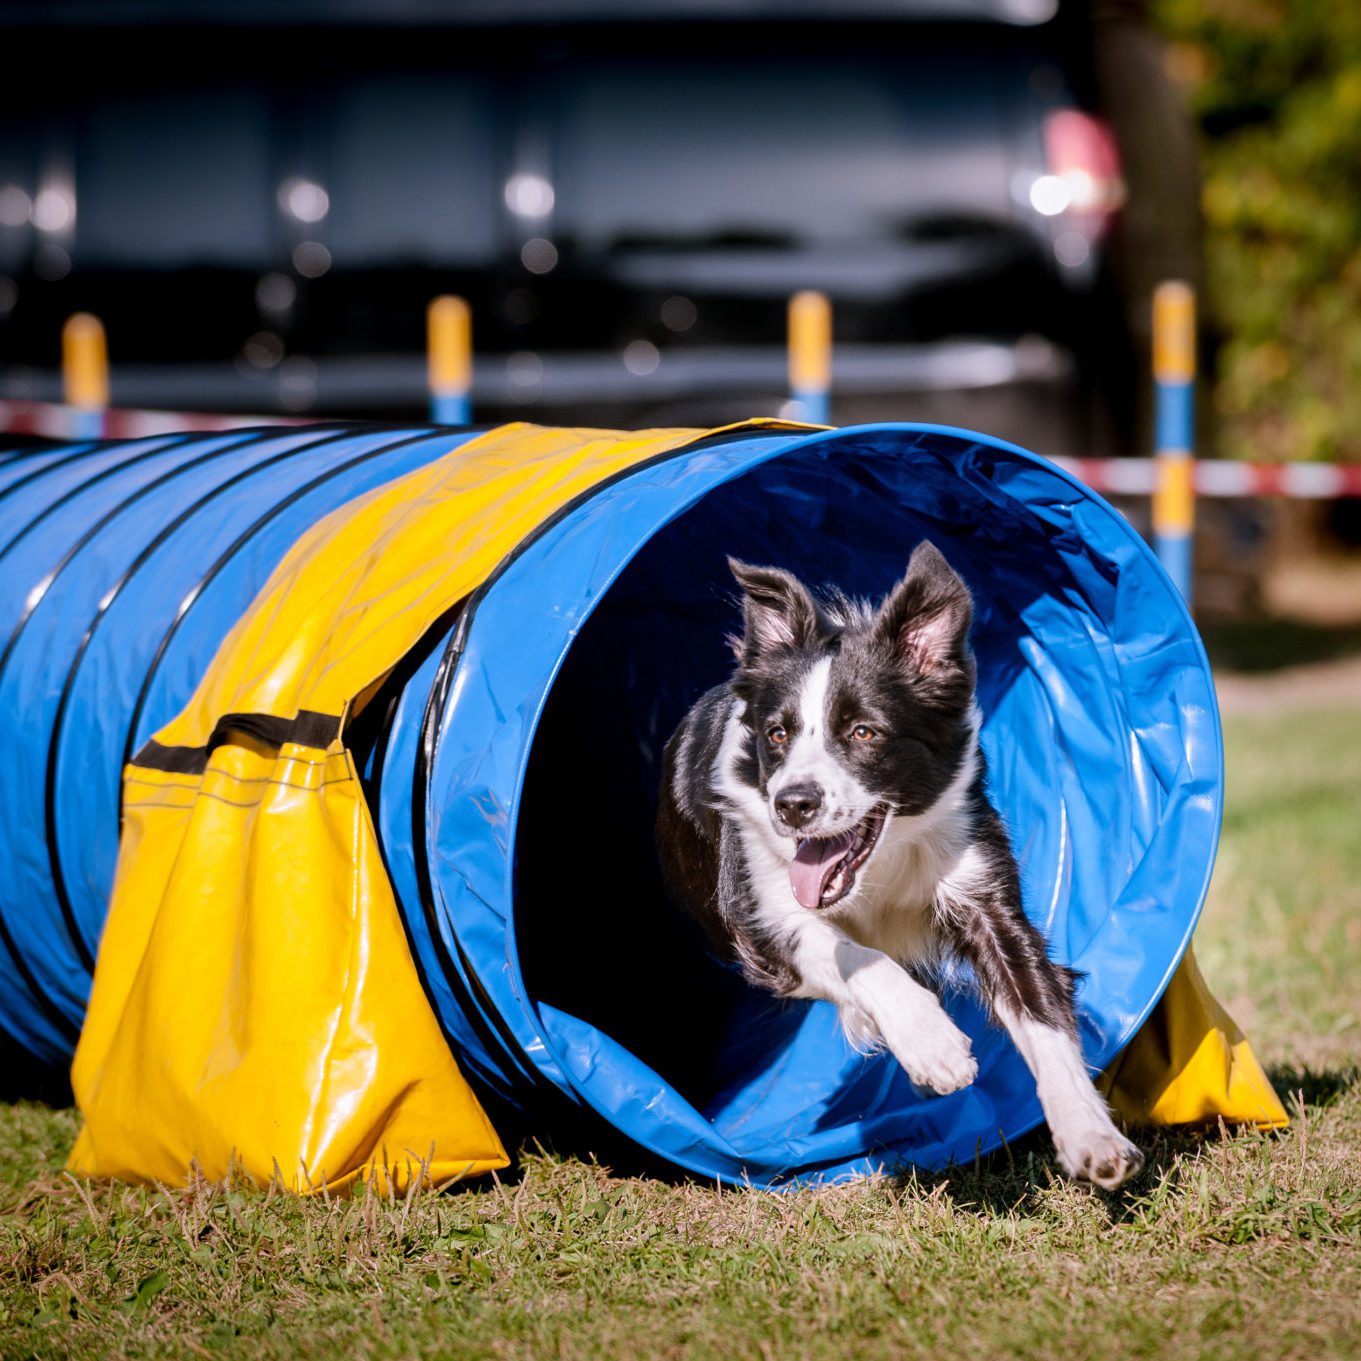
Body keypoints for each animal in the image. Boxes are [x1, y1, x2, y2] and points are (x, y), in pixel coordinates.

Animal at [653, 547, 1143, 1186]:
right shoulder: (758, 919)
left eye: (865, 732)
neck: (878, 868)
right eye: (777, 733)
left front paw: (1091, 1135)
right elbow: (853, 954)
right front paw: (933, 1044)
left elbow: (1041, 1015)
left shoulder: (982, 889)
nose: (792, 804)